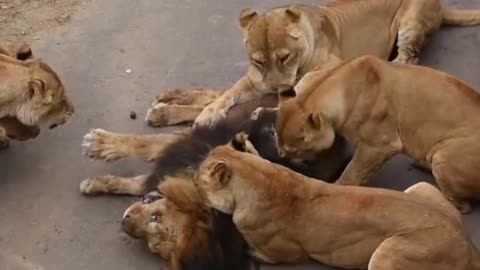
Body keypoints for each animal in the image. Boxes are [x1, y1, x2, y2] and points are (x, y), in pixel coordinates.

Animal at [80, 94, 350, 268]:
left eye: (153, 242)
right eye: (156, 216)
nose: (124, 221)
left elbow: (140, 181)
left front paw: (98, 182)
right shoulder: (196, 142)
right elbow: (145, 144)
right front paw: (101, 145)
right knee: (217, 98)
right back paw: (166, 107)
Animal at [145, 0, 480, 129]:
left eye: (284, 56)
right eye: (258, 60)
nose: (278, 87)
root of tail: (441, 7)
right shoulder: (254, 80)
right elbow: (225, 95)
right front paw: (204, 113)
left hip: (411, 20)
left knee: (408, 57)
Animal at [192, 137, 480, 270]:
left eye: (199, 179)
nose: (192, 178)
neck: (256, 174)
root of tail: (467, 245)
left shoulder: (288, 254)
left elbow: (258, 252)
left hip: (386, 252)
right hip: (421, 188)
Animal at [274, 54, 480, 214]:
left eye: (293, 150)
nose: (281, 156)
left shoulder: (378, 146)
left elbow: (351, 174)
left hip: (442, 157)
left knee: (463, 206)